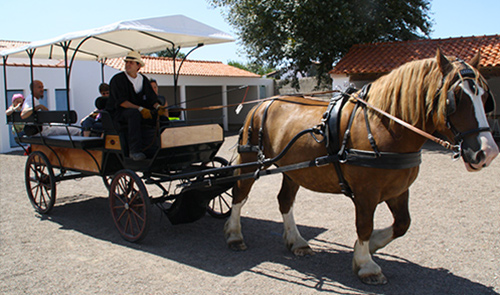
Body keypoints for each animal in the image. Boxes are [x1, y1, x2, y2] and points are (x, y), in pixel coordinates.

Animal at [225, 48, 498, 284]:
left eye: (485, 96)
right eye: (457, 98)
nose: (487, 153)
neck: (383, 125)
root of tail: (262, 104)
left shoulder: (399, 190)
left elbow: (402, 224)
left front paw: (370, 246)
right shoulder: (366, 193)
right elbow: (365, 225)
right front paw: (366, 264)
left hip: (293, 170)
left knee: (284, 200)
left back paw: (297, 241)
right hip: (250, 161)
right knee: (240, 194)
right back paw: (234, 234)